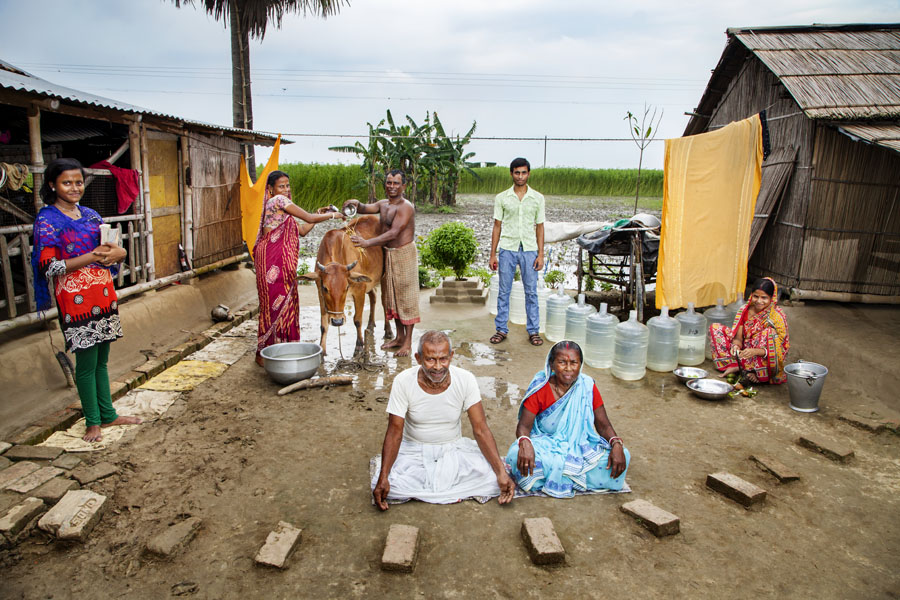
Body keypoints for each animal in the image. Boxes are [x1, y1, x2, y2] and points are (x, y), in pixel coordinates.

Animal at [298, 216, 390, 354]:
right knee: (373, 297)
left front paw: (359, 345)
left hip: (384, 276)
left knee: (384, 302)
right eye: (326, 288)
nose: (337, 321)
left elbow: (357, 320)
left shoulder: (359, 291)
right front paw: (322, 351)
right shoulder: (320, 294)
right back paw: (370, 325)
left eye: (346, 287)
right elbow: (323, 325)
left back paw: (388, 331)